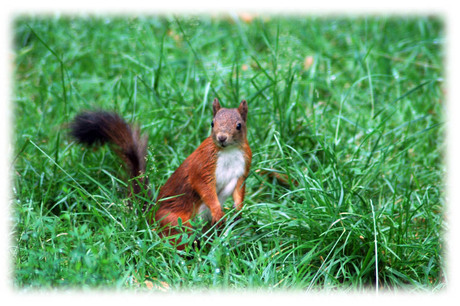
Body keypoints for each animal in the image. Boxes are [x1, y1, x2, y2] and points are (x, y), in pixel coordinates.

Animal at [70, 99, 253, 247]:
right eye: (212, 123)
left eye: (239, 125)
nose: (222, 138)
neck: (228, 151)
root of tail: (150, 216)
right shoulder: (203, 165)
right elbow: (204, 187)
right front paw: (217, 210)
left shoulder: (243, 168)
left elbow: (239, 190)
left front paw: (238, 210)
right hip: (175, 222)